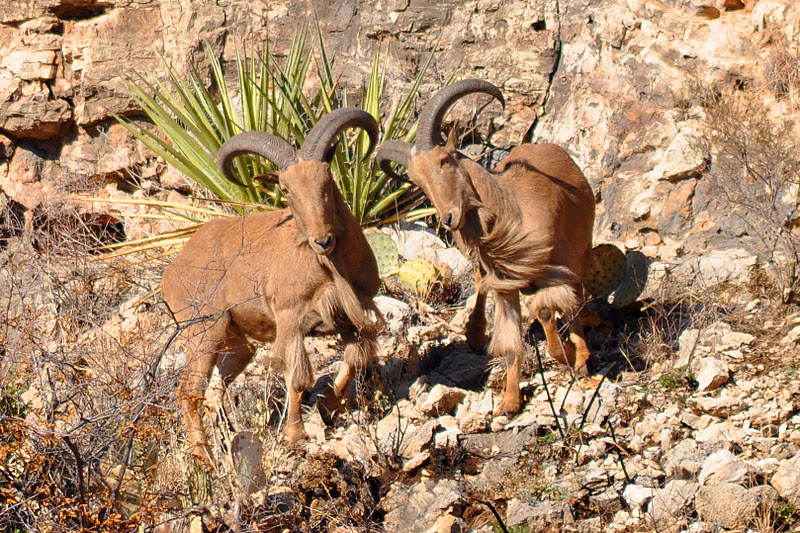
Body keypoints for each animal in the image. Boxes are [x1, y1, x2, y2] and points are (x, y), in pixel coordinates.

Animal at [162, 109, 382, 464]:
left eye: (326, 180)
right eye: (286, 189)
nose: (322, 240)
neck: (333, 268)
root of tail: (172, 271)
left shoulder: (354, 317)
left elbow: (352, 361)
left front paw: (330, 405)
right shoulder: (291, 319)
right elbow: (297, 377)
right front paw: (295, 435)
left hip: (236, 343)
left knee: (214, 392)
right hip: (202, 332)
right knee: (188, 391)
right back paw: (206, 460)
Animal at [375, 80, 595, 416]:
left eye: (444, 161)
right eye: (417, 180)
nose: (448, 218)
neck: (513, 211)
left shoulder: (558, 267)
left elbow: (550, 310)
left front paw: (571, 357)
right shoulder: (506, 285)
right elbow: (511, 343)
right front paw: (509, 402)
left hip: (582, 253)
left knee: (576, 304)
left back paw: (581, 357)